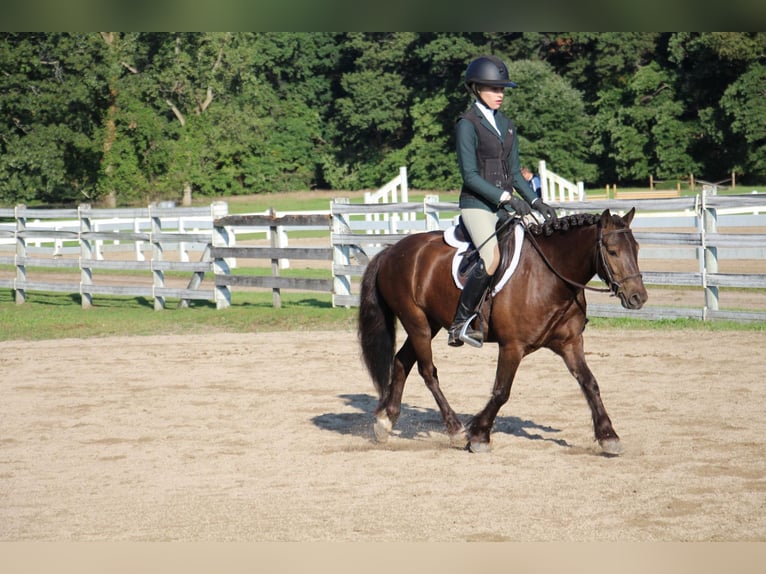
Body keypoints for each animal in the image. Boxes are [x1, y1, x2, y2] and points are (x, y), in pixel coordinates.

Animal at [358, 209, 648, 456]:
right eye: (612, 251)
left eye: (636, 249)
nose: (638, 298)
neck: (550, 275)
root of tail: (391, 251)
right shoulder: (512, 346)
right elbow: (501, 391)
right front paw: (478, 435)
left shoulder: (570, 343)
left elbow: (590, 383)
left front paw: (609, 436)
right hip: (416, 323)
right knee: (428, 372)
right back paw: (454, 428)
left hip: (429, 324)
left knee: (401, 362)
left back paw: (385, 423)